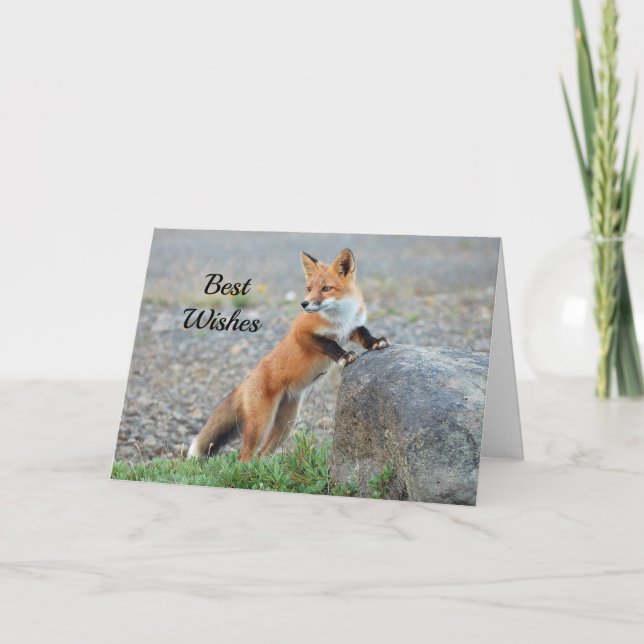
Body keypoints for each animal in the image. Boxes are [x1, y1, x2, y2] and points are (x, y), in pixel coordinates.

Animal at [188, 248, 390, 463]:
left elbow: (365, 334)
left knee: (262, 454)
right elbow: (330, 343)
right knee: (245, 456)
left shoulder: (352, 327)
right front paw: (344, 356)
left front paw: (377, 343)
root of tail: (247, 379)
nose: (304, 303)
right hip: (261, 423)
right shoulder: (301, 333)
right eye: (309, 288)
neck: (340, 319)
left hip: (286, 424)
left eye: (326, 288)